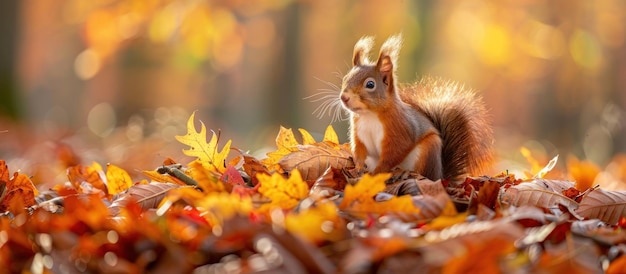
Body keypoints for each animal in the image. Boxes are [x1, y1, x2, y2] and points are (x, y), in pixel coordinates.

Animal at [338, 33, 490, 180]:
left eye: (370, 84)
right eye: (345, 78)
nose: (344, 97)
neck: (369, 114)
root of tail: (440, 175)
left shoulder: (401, 130)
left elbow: (393, 155)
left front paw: (376, 173)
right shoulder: (359, 133)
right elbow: (359, 151)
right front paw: (358, 168)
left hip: (427, 151)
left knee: (421, 173)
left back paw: (403, 173)